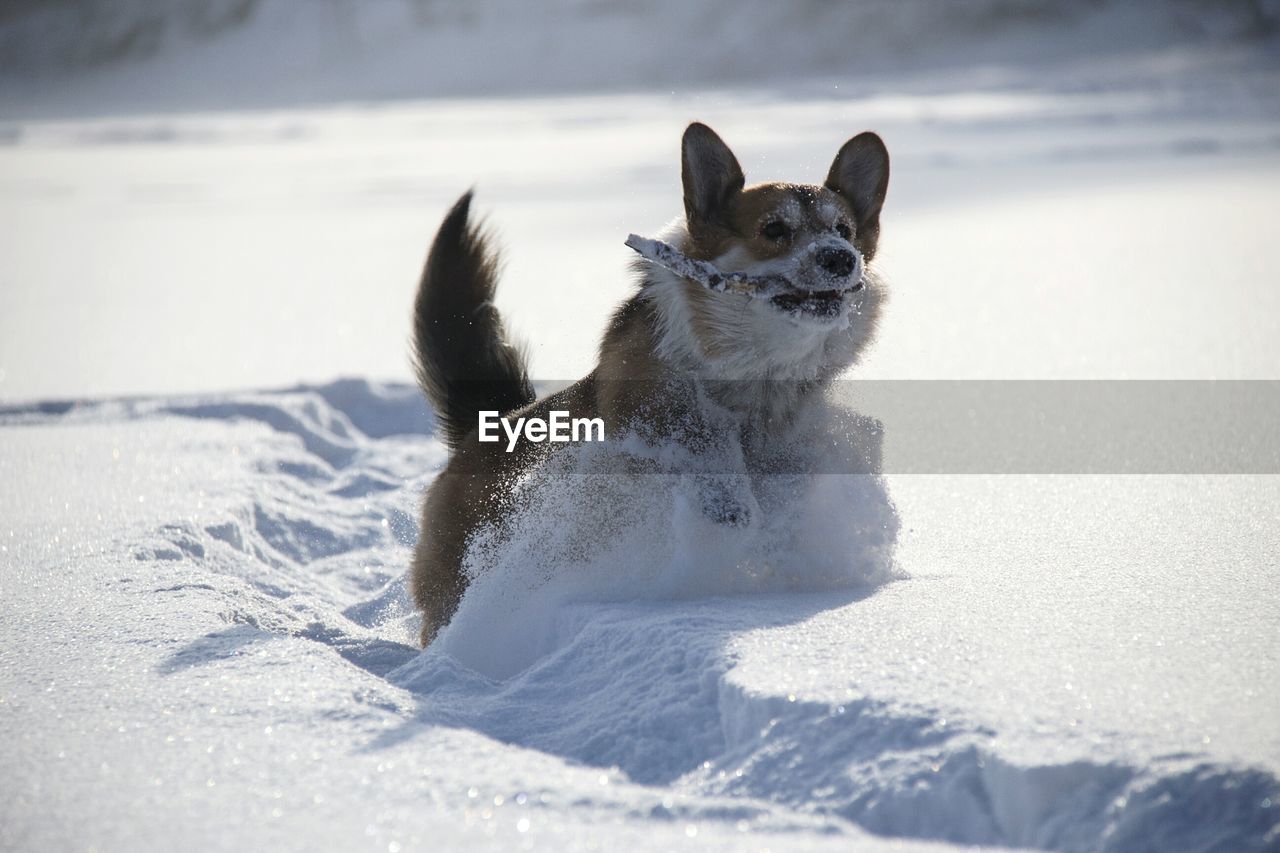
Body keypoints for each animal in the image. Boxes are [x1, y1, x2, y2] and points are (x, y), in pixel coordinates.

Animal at [409, 121, 890, 645]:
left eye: (844, 231)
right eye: (774, 231)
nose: (841, 259)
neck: (758, 371)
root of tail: (488, 427)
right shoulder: (649, 412)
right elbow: (702, 439)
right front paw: (730, 502)